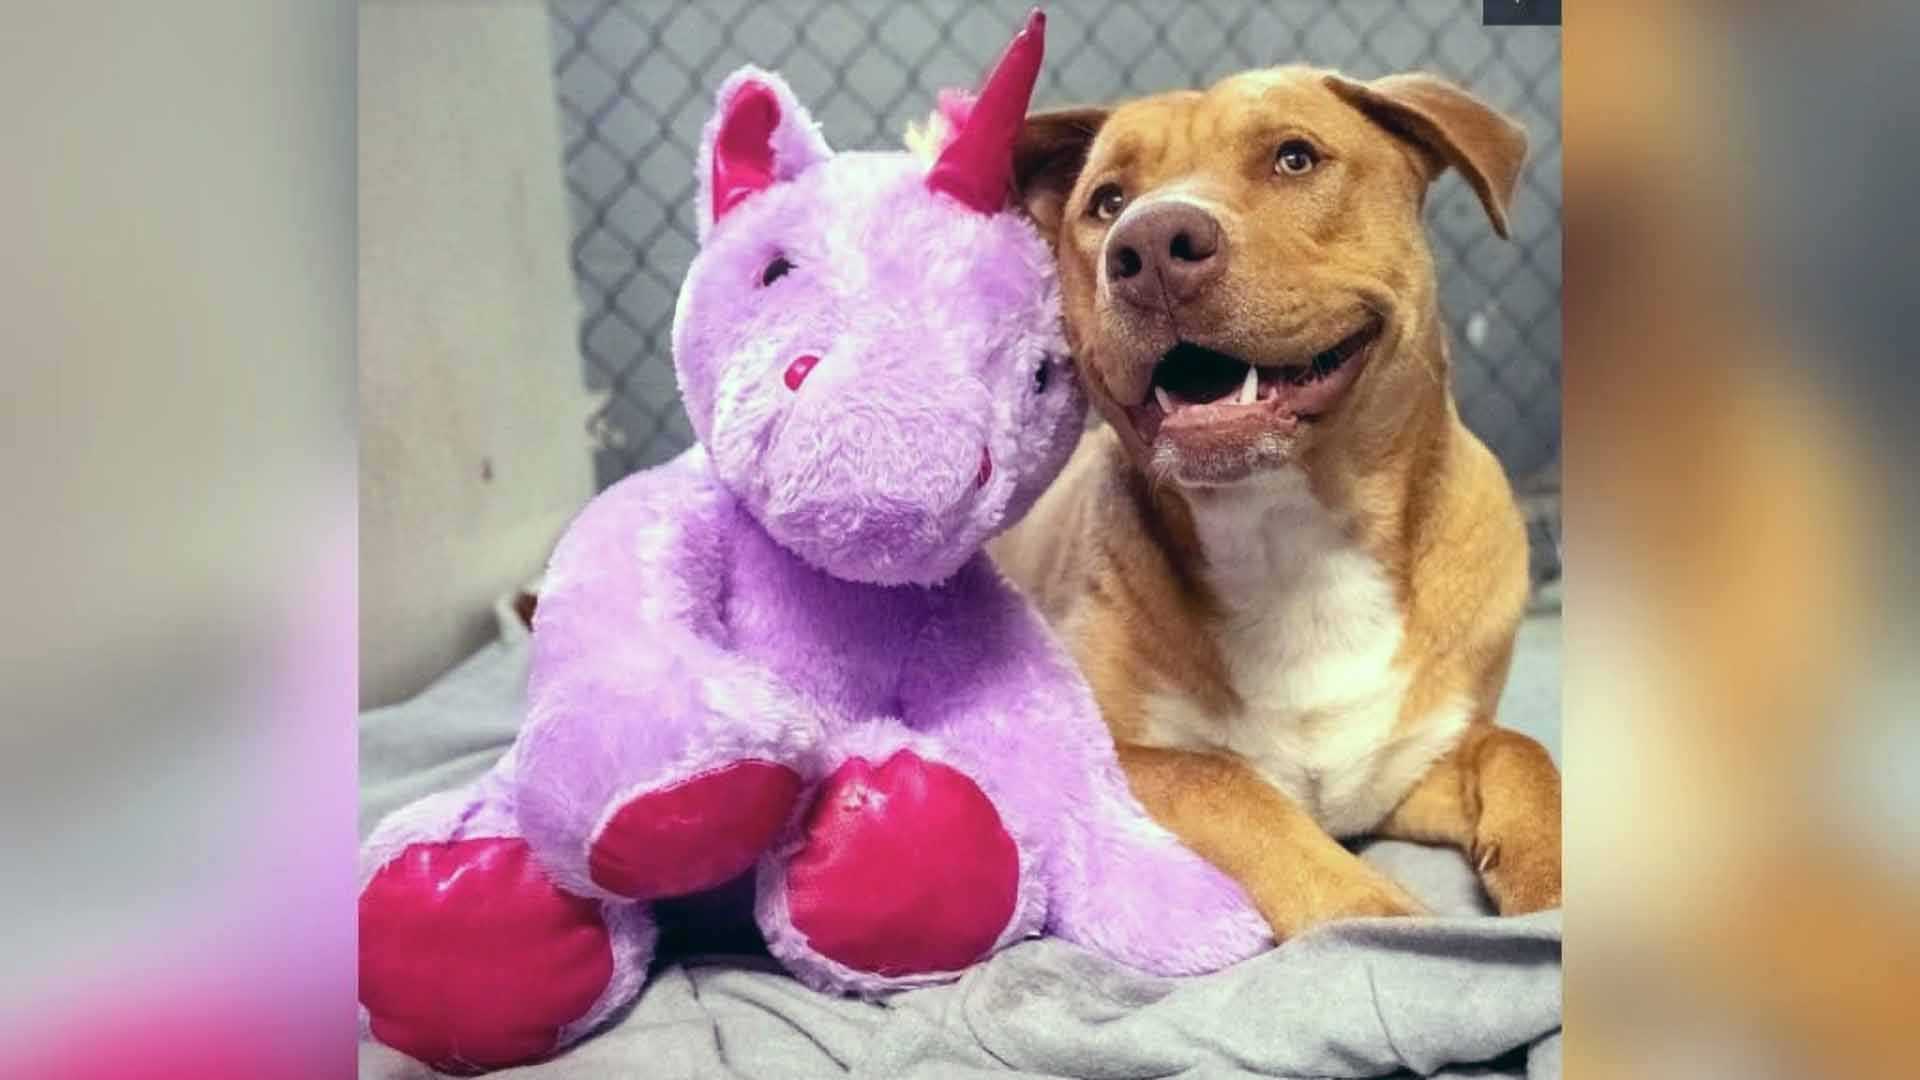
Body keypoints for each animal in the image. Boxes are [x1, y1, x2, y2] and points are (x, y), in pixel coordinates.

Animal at [990, 69, 1559, 941]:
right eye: (1107, 201)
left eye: (1295, 158)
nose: (1150, 247)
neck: (1294, 545)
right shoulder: (1110, 757)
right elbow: (1220, 783)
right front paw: (1376, 914)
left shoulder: (1408, 770)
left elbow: (1522, 752)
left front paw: (1553, 881)